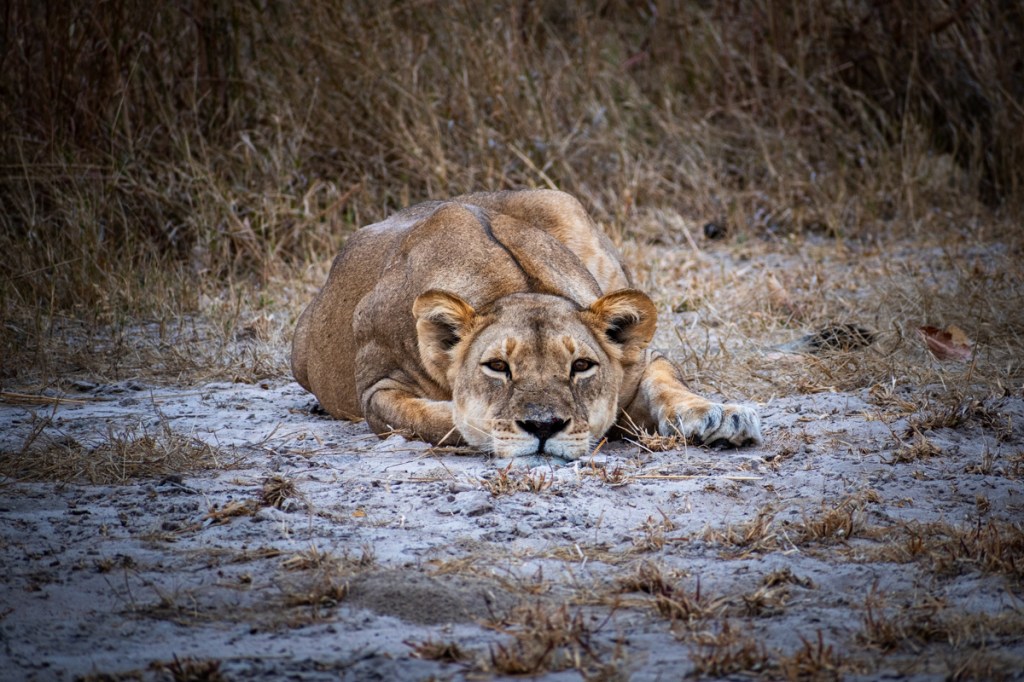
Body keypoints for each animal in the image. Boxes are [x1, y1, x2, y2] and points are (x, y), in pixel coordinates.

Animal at [291, 190, 762, 459]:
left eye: (580, 366)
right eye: (498, 367)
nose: (543, 427)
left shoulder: (635, 362)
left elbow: (667, 379)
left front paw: (722, 416)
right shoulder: (377, 388)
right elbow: (432, 417)